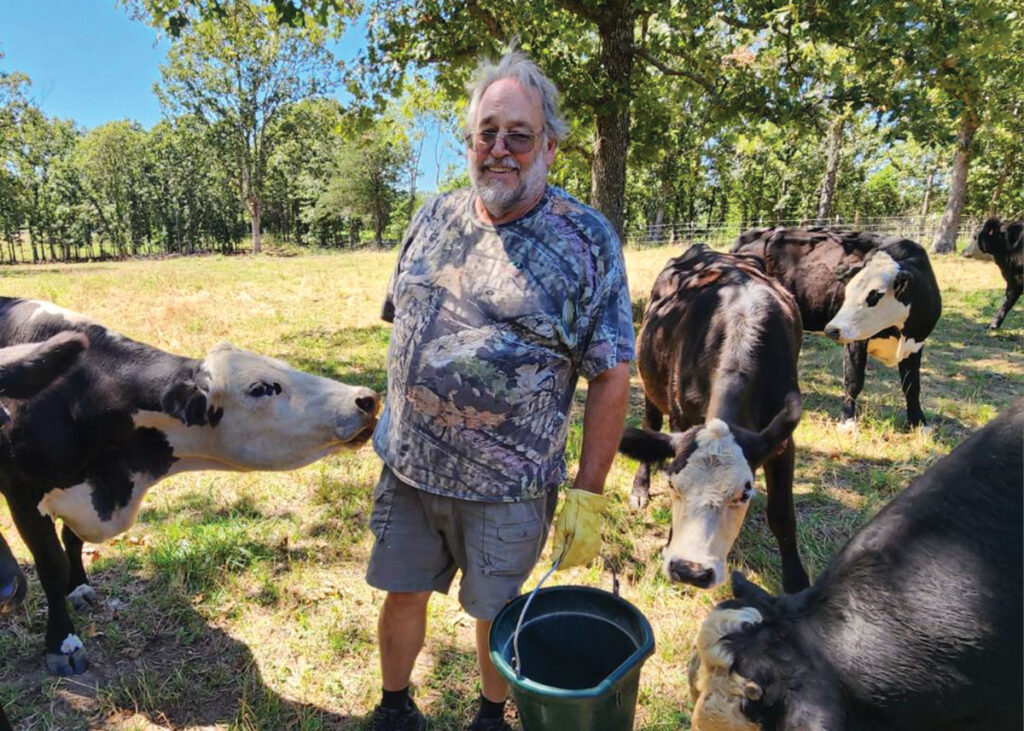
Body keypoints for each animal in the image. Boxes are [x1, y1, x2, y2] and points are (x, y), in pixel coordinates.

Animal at [0, 298, 380, 675]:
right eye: (259, 388)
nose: (366, 399)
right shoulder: (24, 495)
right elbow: (52, 566)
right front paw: (63, 643)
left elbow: (72, 540)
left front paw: (77, 586)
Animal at [614, 244, 806, 593]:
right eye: (673, 485)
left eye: (744, 493)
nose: (690, 570)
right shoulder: (682, 416)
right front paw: (669, 542)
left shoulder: (783, 439)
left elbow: (782, 515)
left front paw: (797, 582)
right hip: (650, 382)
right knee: (651, 424)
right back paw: (640, 489)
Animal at [733, 227, 937, 427]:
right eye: (847, 291)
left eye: (874, 295)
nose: (832, 329)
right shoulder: (856, 341)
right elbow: (854, 380)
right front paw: (847, 420)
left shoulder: (915, 343)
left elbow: (911, 385)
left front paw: (918, 422)